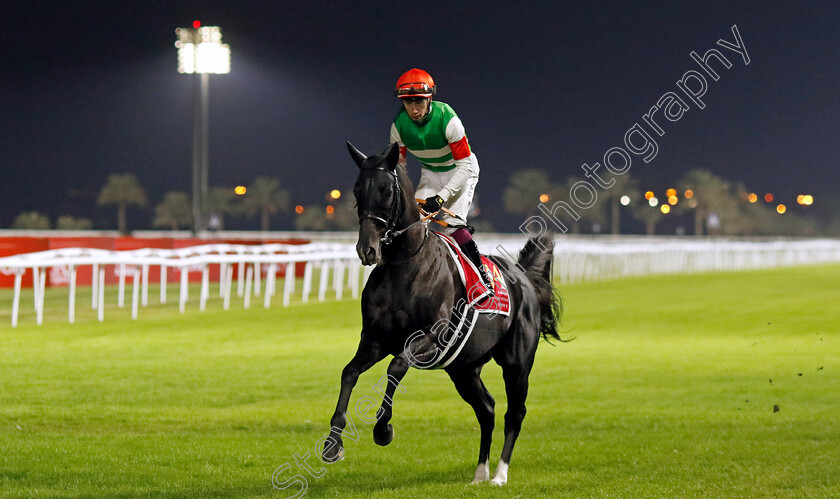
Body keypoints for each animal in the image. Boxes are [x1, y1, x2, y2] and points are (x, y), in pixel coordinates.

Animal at [324, 143, 564, 486]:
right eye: (358, 188)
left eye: (386, 191)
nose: (367, 249)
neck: (404, 265)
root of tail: (524, 278)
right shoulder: (374, 339)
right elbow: (349, 372)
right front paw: (333, 444)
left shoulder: (432, 337)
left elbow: (396, 367)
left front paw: (383, 429)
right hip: (464, 369)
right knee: (487, 409)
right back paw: (480, 472)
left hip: (517, 363)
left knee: (514, 412)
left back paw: (500, 474)